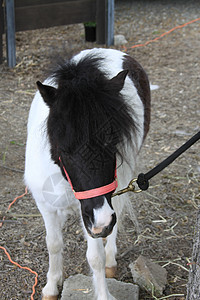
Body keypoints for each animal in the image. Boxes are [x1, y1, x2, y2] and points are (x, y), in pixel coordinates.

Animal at [24, 48, 150, 298]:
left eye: (111, 143)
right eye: (63, 149)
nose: (101, 221)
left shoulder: (94, 211)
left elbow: (95, 257)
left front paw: (103, 293)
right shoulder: (47, 206)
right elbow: (53, 243)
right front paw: (51, 286)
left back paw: (111, 258)